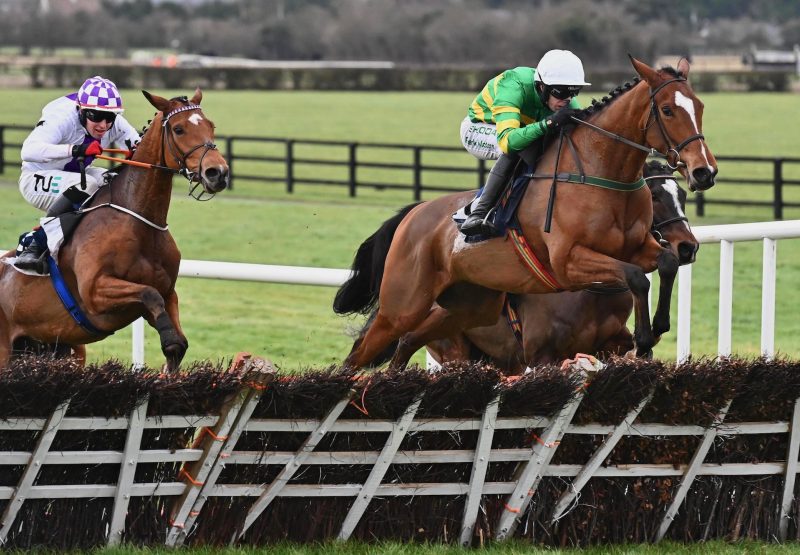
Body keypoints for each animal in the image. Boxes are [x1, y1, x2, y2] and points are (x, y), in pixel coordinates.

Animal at [0, 89, 228, 372]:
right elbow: (149, 294)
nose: (217, 173)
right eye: (178, 129)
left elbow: (176, 344)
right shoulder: (95, 292)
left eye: (211, 126)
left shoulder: (168, 292)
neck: (139, 222)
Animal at [428, 161, 696, 374]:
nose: (688, 247)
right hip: (455, 349)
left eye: (682, 195)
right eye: (654, 196)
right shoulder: (541, 356)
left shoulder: (610, 344)